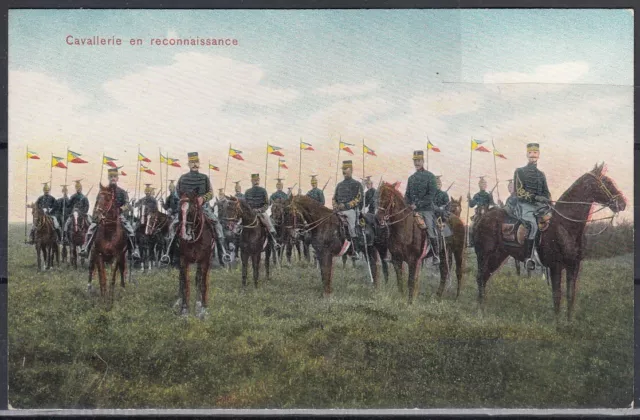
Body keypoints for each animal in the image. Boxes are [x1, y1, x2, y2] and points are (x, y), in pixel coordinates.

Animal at [476, 164, 624, 322]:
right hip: (484, 255)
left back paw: (484, 306)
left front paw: (569, 322)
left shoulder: (574, 266)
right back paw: (480, 311)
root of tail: (484, 217)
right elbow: (557, 295)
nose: (622, 203)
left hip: (498, 256)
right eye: (607, 182)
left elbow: (570, 294)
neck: (565, 226)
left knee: (485, 277)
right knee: (480, 277)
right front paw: (557, 323)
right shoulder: (555, 267)